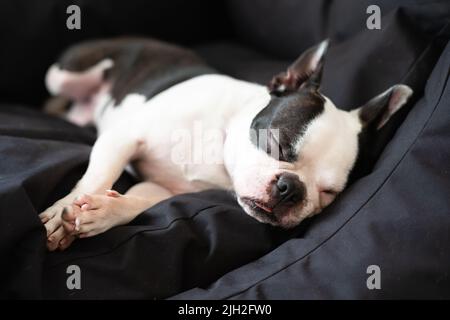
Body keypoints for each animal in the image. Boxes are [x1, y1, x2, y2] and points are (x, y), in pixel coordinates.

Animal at [40, 38, 414, 251]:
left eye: (328, 194)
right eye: (277, 145)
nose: (291, 188)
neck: (220, 147)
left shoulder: (161, 188)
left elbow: (137, 204)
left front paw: (102, 213)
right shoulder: (124, 136)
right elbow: (97, 178)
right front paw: (62, 214)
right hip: (63, 75)